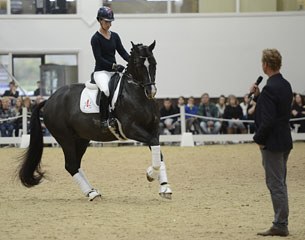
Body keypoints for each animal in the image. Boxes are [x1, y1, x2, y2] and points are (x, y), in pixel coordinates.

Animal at [18, 40, 171, 201]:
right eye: (137, 63)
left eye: (154, 63)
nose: (151, 92)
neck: (137, 95)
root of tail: (49, 100)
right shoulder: (131, 129)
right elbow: (154, 145)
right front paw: (150, 174)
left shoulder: (153, 130)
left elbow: (158, 150)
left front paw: (165, 188)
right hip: (65, 138)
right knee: (71, 165)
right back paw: (92, 193)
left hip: (81, 139)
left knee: (76, 164)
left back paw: (93, 191)